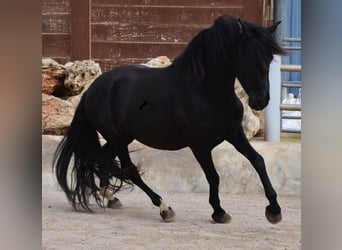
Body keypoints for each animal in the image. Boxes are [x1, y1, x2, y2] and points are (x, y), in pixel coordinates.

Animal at [53, 15, 286, 223]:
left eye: (269, 59)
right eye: (250, 57)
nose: (261, 101)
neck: (206, 92)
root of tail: (91, 90)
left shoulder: (234, 133)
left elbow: (258, 160)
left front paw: (274, 210)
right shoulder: (199, 145)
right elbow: (214, 176)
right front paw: (219, 212)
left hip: (122, 138)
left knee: (104, 159)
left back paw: (111, 198)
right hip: (118, 139)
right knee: (129, 170)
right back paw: (164, 208)